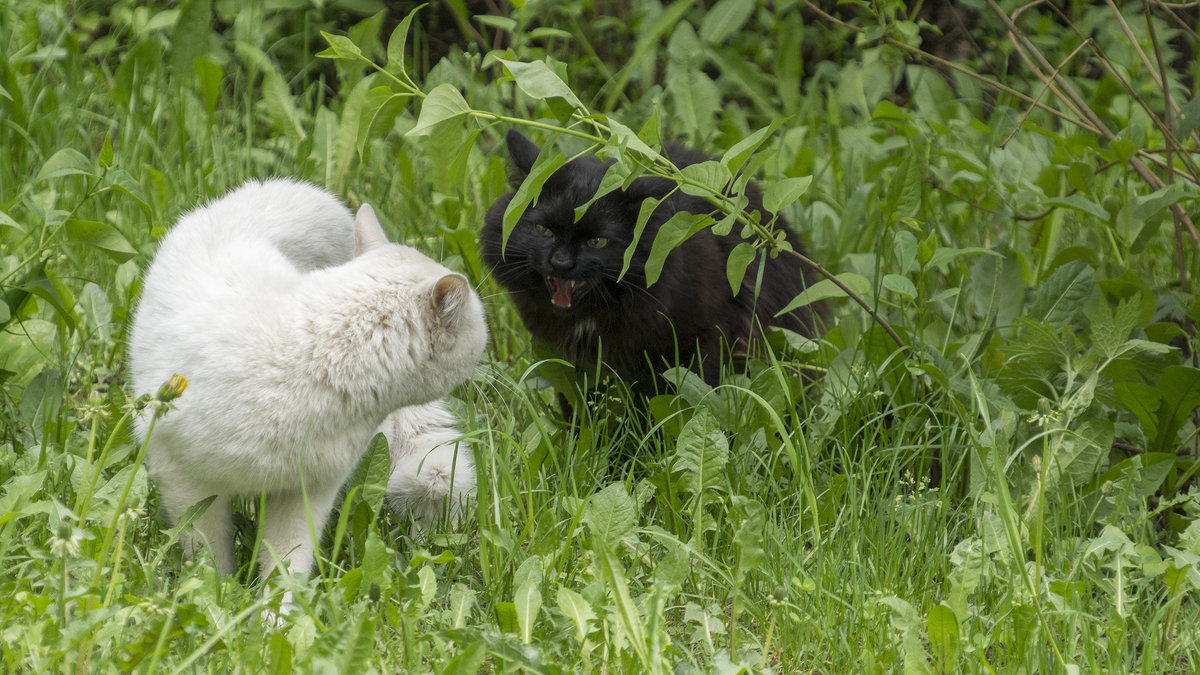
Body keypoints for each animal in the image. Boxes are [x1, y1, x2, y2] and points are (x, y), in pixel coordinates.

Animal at [129, 177, 484, 571]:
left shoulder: (308, 490)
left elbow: (287, 560)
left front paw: (279, 591)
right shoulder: (184, 478)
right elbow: (207, 552)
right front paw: (213, 585)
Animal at [480, 129, 825, 386]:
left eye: (597, 241)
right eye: (544, 230)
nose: (562, 263)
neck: (592, 315)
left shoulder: (697, 341)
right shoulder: (571, 360)